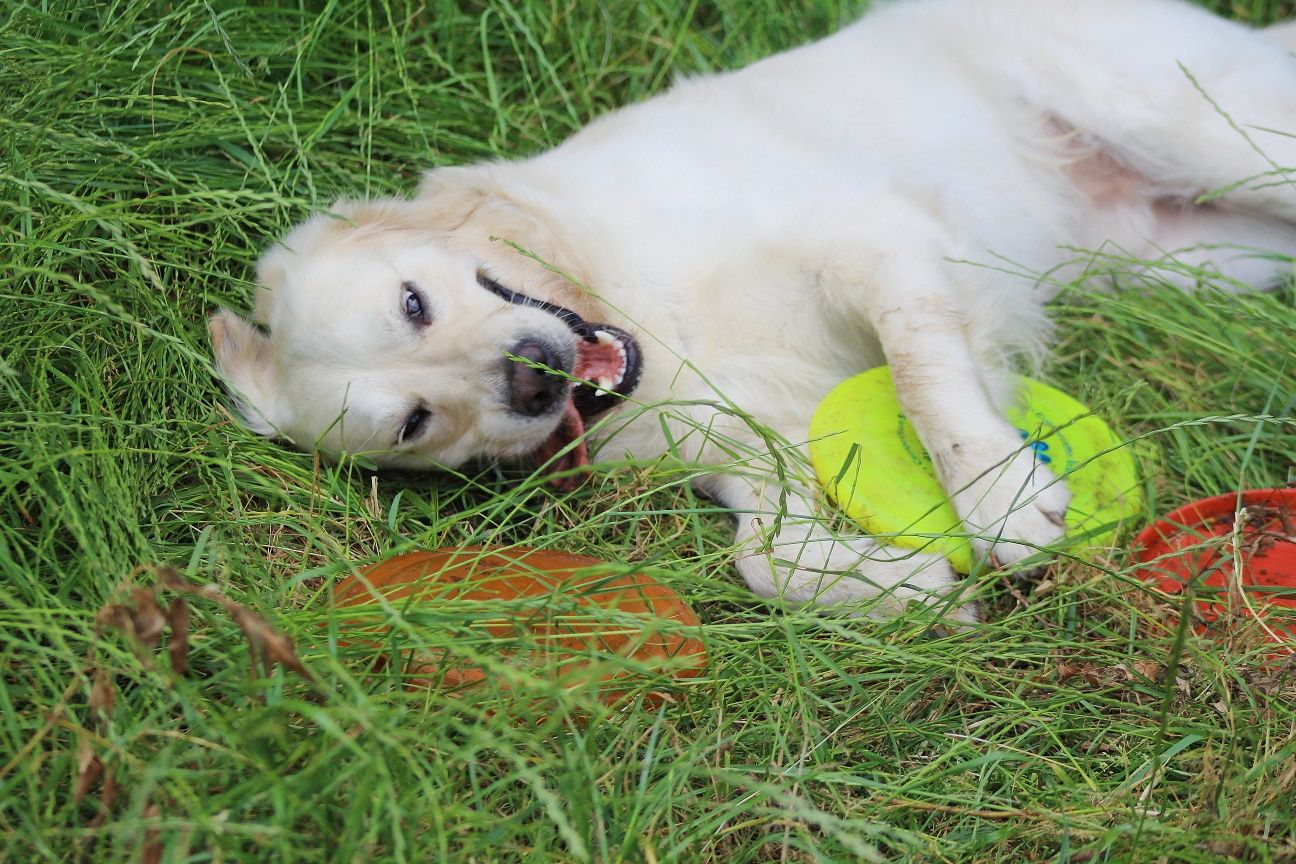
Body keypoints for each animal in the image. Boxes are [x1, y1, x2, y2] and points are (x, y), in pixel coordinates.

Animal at [209, 0, 1296, 621]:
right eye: (414, 423)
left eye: (415, 300)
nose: (531, 378)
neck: (647, 320)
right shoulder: (755, 450)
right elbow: (763, 561)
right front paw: (909, 592)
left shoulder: (874, 240)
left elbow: (924, 381)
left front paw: (998, 501)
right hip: (1197, 255)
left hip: (1205, 134)